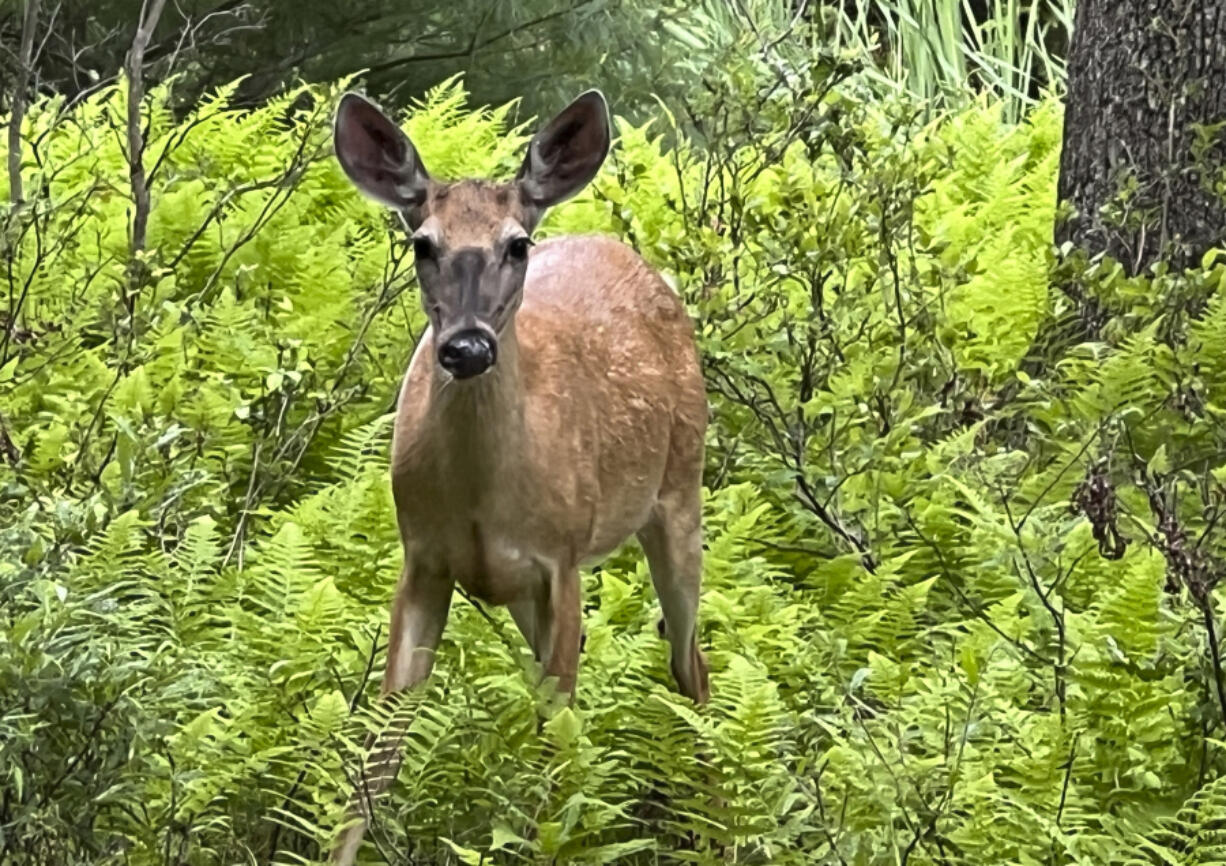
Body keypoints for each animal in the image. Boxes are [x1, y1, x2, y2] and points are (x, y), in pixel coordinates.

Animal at [328, 85, 711, 858]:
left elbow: (549, 753)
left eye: (516, 243)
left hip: (681, 494)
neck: (483, 500)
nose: (467, 347)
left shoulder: (561, 559)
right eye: (422, 244)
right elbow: (375, 755)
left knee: (693, 667)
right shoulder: (423, 559)